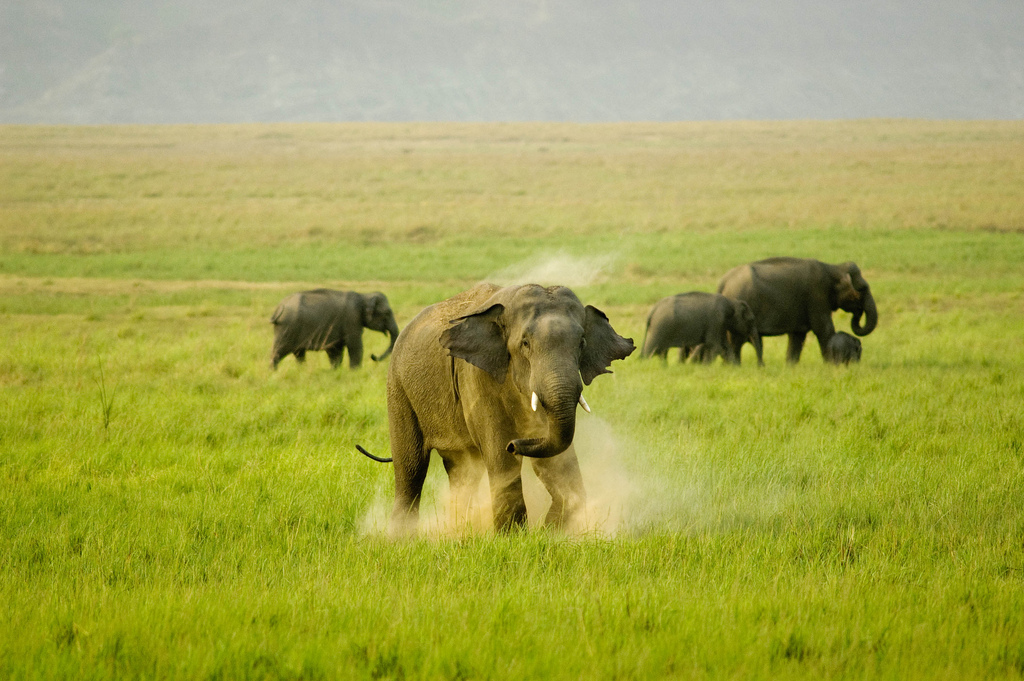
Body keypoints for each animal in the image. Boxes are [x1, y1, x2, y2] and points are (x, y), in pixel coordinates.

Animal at [358, 282, 630, 536]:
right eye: (525, 344)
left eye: (582, 343)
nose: (515, 444)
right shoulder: (475, 374)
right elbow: (499, 454)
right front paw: (513, 537)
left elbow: (555, 458)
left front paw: (552, 532)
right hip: (398, 387)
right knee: (411, 465)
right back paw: (401, 537)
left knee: (462, 472)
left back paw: (458, 531)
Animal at [716, 256, 876, 364]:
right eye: (862, 289)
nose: (858, 313)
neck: (833, 268)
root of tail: (723, 282)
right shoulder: (817, 295)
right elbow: (823, 328)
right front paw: (830, 365)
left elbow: (797, 336)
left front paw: (790, 367)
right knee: (735, 342)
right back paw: (734, 367)